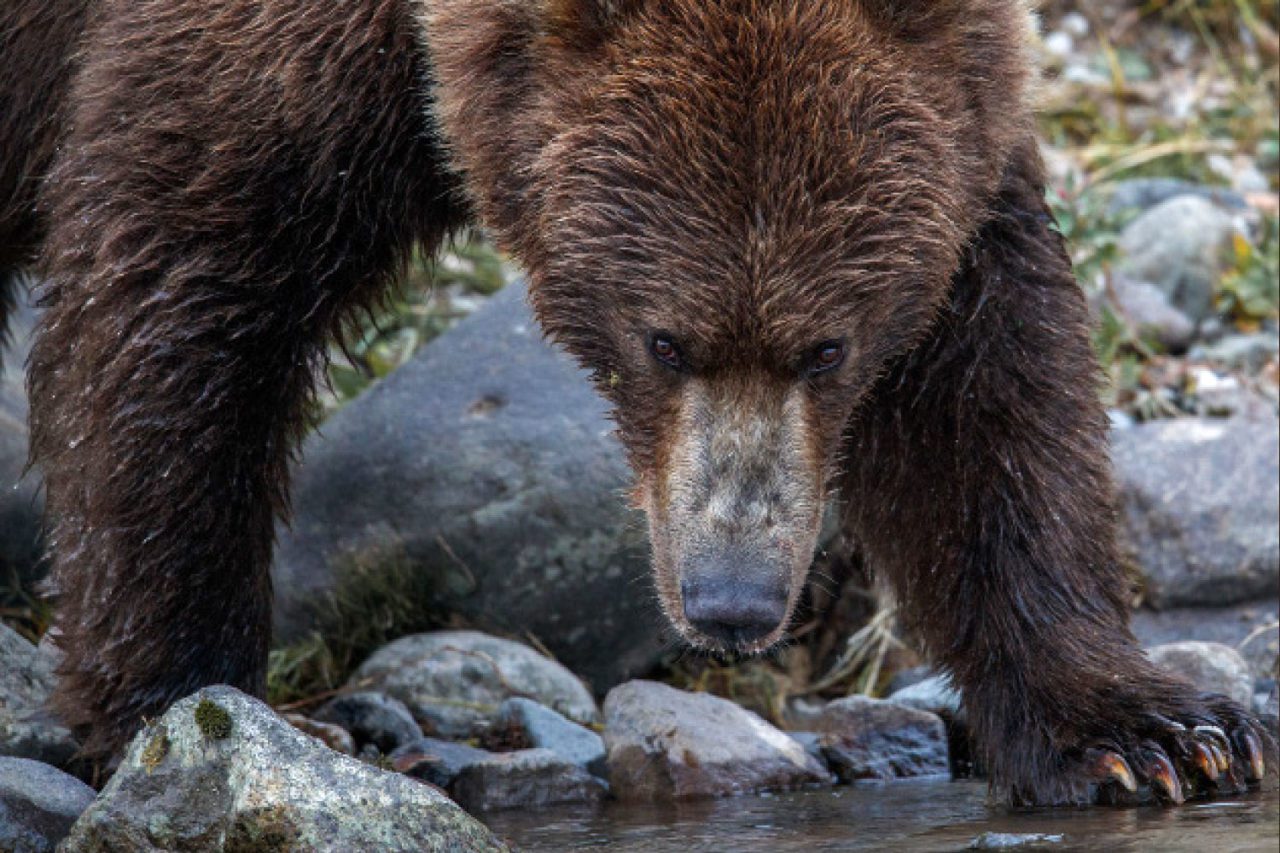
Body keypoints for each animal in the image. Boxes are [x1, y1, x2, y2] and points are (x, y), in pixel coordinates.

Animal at [0, 0, 1274, 804]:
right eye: (662, 338)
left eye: (826, 346)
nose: (731, 600)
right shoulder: (262, 69)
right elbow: (176, 275)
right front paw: (186, 707)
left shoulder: (951, 142)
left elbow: (985, 384)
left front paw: (1152, 731)